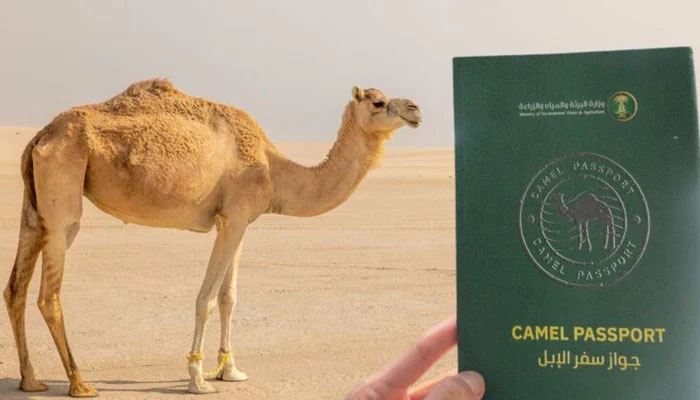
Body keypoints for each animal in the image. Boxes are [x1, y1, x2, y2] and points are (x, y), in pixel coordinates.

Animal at [2, 79, 422, 397]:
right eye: (378, 101)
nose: (415, 108)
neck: (275, 169)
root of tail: (41, 135)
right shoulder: (234, 216)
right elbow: (205, 299)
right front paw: (198, 378)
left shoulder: (235, 221)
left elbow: (228, 297)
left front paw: (230, 370)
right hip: (64, 186)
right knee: (49, 292)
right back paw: (79, 383)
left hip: (34, 203)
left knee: (15, 286)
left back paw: (31, 380)